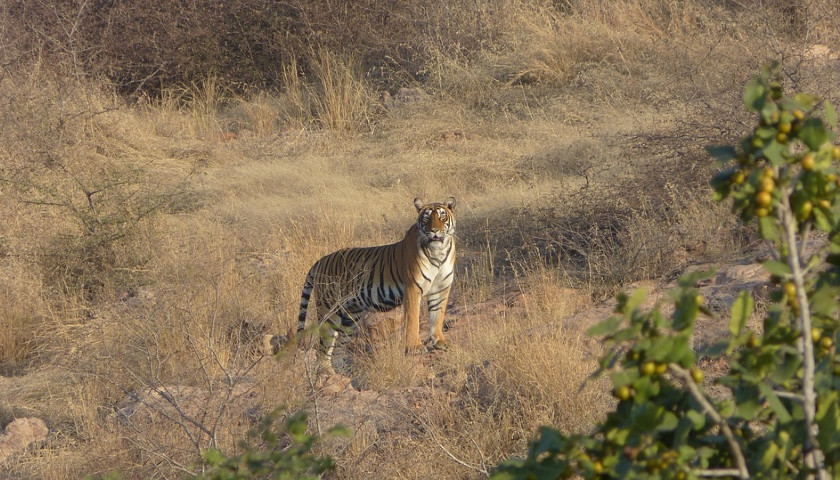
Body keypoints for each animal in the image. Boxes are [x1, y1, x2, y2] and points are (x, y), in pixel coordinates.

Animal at [294, 197, 456, 374]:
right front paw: (415, 347)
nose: (434, 231)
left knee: (338, 348)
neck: (438, 251)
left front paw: (439, 342)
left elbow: (437, 316)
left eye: (442, 217)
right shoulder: (413, 289)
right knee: (323, 349)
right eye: (426, 219)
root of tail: (320, 260)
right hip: (329, 311)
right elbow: (413, 320)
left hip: (350, 316)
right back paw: (329, 374)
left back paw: (341, 372)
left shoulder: (441, 289)